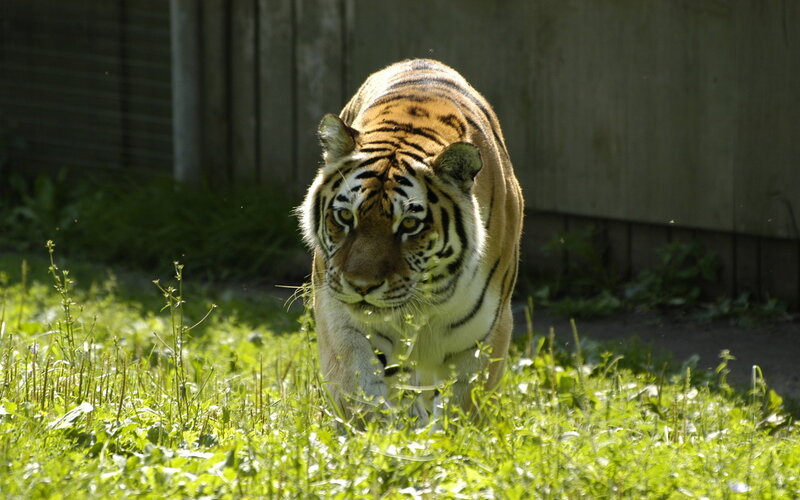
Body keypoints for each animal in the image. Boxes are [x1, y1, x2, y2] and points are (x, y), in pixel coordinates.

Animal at [299, 58, 523, 425]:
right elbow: (360, 388)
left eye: (408, 225)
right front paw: (377, 434)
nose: (361, 286)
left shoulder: (484, 333)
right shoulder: (341, 316)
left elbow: (461, 403)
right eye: (345, 217)